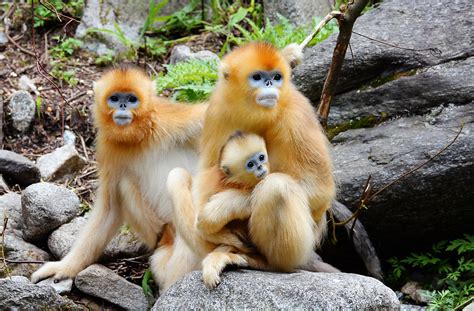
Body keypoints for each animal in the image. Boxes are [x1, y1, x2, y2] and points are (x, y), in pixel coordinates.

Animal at [30, 68, 206, 286]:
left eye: (131, 99)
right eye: (114, 99)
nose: (122, 106)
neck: (139, 138)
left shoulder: (171, 119)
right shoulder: (107, 147)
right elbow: (110, 208)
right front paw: (65, 267)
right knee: (125, 185)